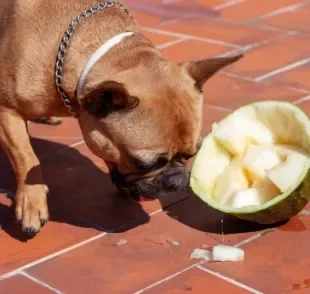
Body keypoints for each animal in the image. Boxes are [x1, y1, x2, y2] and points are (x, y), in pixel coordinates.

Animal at [0, 0, 242, 235]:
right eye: (143, 164)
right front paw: (32, 201)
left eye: (192, 155)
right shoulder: (6, 110)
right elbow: (26, 157)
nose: (176, 181)